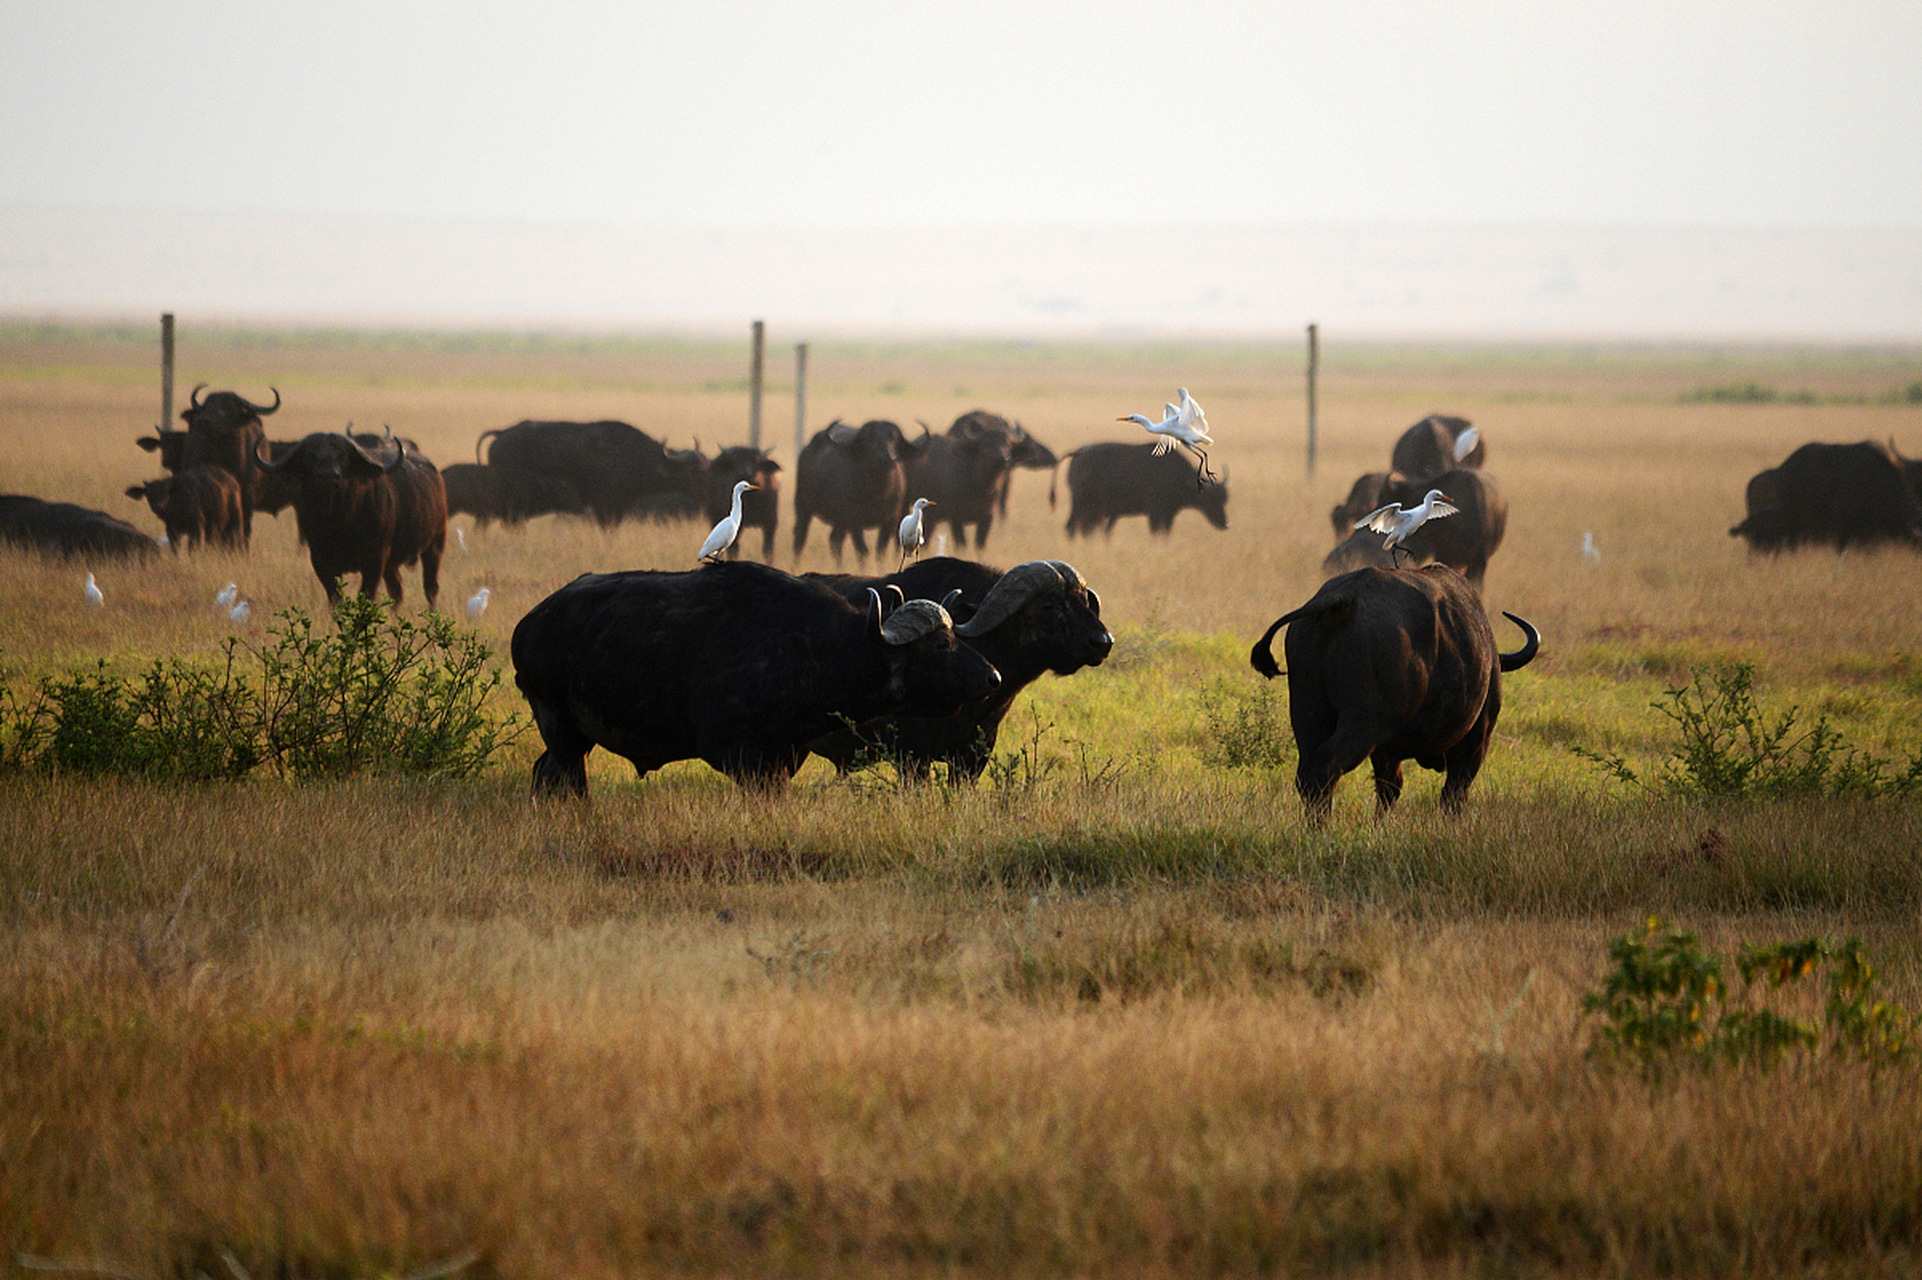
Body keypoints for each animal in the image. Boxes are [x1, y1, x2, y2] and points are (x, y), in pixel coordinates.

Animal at [254, 430, 448, 607]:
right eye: (311, 455)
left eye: (343, 456)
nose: (328, 475)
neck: (339, 520)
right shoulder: (320, 560)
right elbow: (336, 600)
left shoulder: (375, 558)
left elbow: (366, 597)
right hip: (392, 563)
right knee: (397, 591)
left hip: (435, 545)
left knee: (431, 588)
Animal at [510, 560, 1001, 794]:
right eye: (941, 645)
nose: (993, 677)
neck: (810, 649)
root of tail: (530, 624)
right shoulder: (739, 756)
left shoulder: (784, 756)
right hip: (560, 727)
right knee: (572, 785)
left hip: (570, 737)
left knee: (543, 775)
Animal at [792, 419, 929, 561]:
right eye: (869, 439)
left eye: (894, 438)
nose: (886, 456)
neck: (878, 492)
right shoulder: (854, 522)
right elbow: (863, 550)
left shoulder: (890, 521)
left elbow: (880, 550)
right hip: (802, 506)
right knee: (800, 537)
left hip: (839, 521)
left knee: (835, 540)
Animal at [1055, 441, 1228, 537]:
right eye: (1210, 499)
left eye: (1224, 499)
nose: (1225, 523)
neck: (1176, 475)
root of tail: (1078, 453)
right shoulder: (1155, 512)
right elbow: (1155, 533)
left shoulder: (1169, 515)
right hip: (1080, 502)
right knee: (1071, 527)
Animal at [1250, 566, 1540, 817]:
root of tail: (1344, 599)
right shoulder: (1476, 738)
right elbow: (1454, 793)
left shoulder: (1386, 750)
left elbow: (1389, 789)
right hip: (1362, 724)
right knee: (1326, 766)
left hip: (1307, 715)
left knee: (1306, 774)